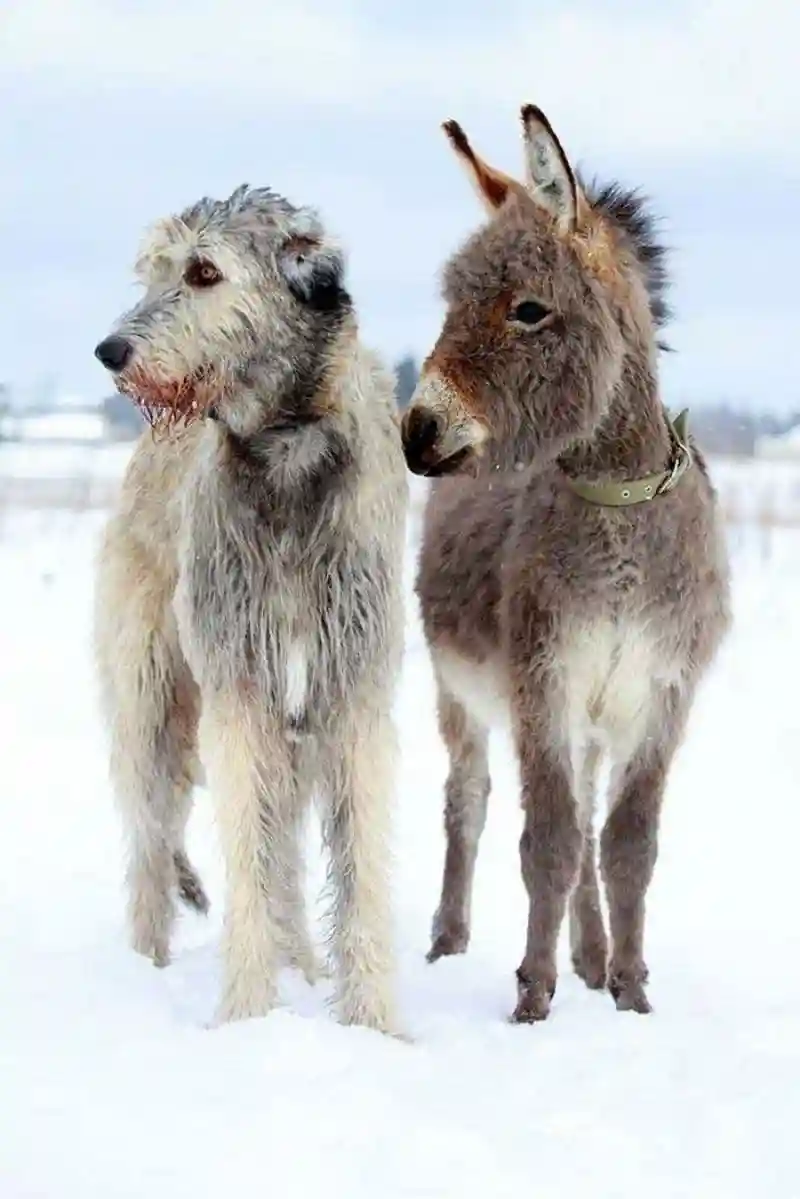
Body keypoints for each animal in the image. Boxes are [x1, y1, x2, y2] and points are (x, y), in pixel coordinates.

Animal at [91, 184, 410, 1031]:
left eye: (204, 271)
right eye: (155, 268)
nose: (110, 352)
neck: (285, 446)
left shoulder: (353, 686)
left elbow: (360, 863)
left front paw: (374, 1023)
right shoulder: (237, 684)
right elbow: (246, 850)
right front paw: (245, 1017)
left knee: (287, 848)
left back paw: (302, 961)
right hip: (151, 694)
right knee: (151, 839)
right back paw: (145, 966)